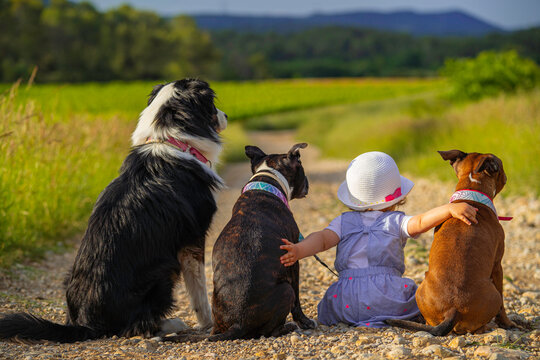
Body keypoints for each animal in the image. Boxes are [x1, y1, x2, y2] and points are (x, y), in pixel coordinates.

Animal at [386, 150, 516, 334]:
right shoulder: (498, 266)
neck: (471, 196)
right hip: (494, 295)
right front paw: (507, 323)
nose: (506, 175)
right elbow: (503, 306)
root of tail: (453, 310)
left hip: (422, 287)